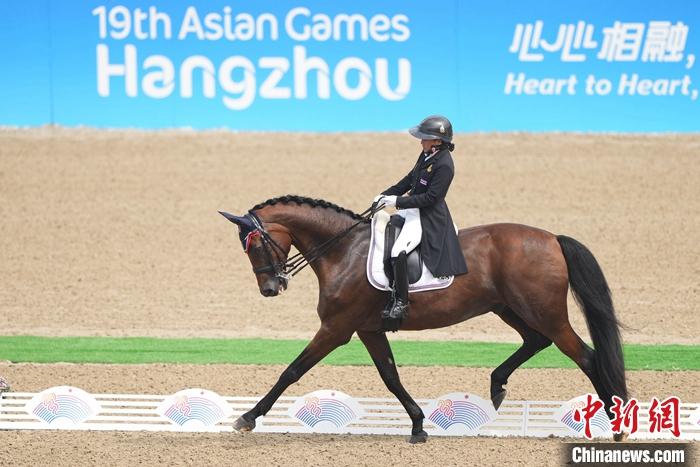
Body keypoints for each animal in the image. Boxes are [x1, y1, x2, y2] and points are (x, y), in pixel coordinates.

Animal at [219, 195, 627, 443]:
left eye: (254, 245)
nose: (270, 288)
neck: (343, 251)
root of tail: (553, 239)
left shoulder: (336, 329)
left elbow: (291, 371)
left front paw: (248, 417)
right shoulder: (367, 329)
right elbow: (391, 377)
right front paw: (418, 424)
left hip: (545, 312)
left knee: (586, 357)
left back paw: (618, 428)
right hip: (510, 308)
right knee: (536, 341)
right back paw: (497, 386)